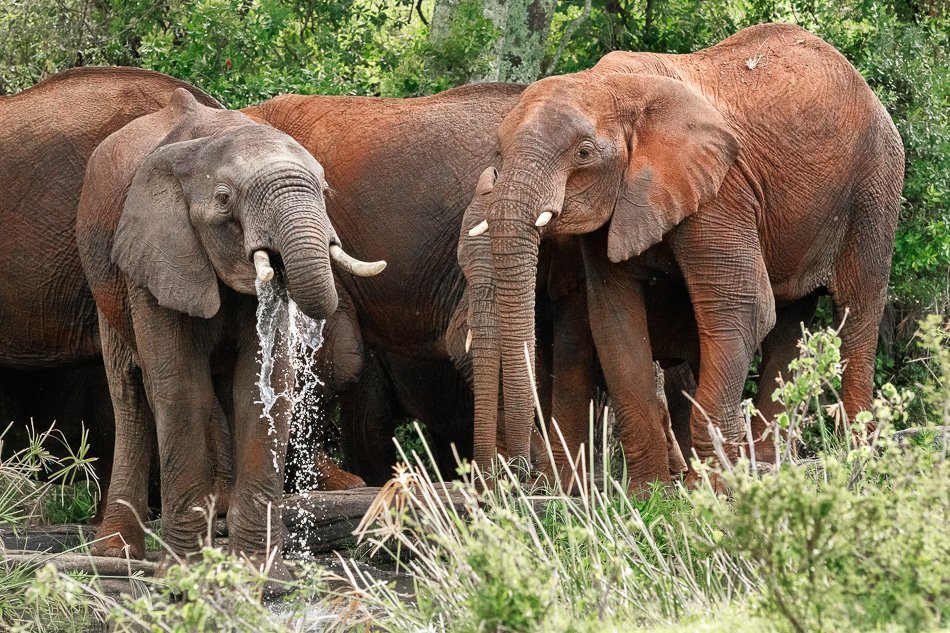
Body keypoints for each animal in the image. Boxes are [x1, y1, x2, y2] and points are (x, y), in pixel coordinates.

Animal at [76, 87, 384, 568]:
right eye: (224, 199)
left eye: (324, 191)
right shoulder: (156, 254)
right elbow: (179, 387)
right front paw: (182, 570)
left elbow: (261, 385)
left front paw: (259, 569)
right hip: (105, 282)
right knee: (131, 393)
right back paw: (117, 552)